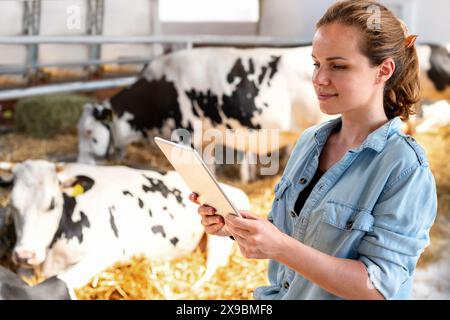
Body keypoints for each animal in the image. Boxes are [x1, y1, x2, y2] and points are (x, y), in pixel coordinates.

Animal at [0, 160, 250, 292]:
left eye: (51, 204)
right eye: (12, 204)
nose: (25, 255)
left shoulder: (105, 253)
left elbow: (68, 281)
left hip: (218, 244)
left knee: (209, 272)